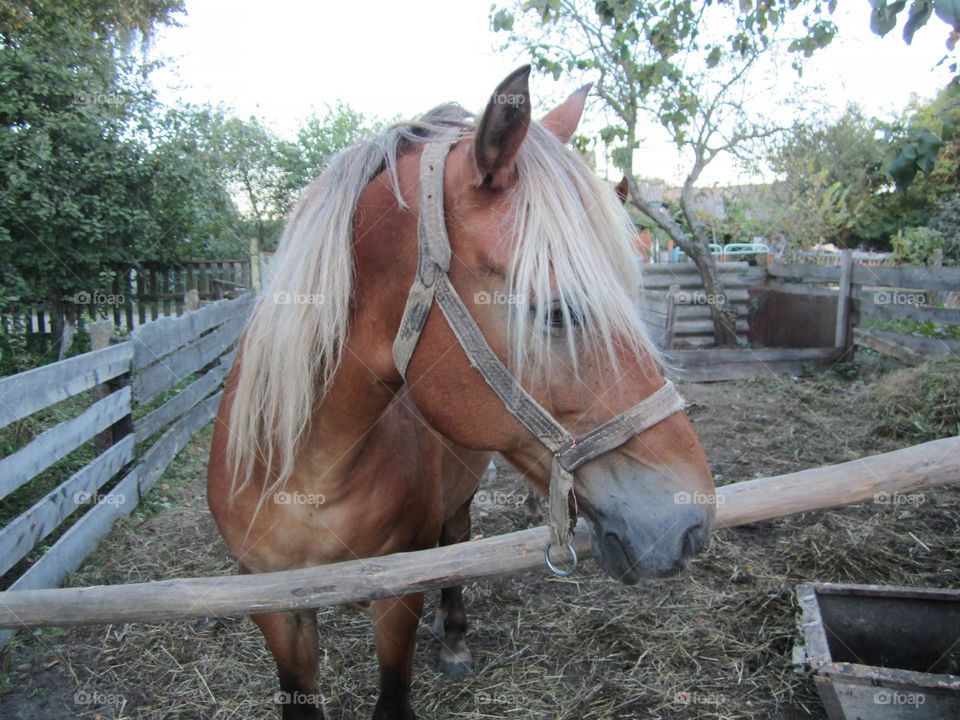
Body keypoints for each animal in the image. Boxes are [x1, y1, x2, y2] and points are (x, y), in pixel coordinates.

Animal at [207, 66, 715, 720]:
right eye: (558, 313)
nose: (690, 521)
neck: (307, 473)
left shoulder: (398, 593)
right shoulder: (275, 609)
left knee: (458, 543)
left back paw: (452, 639)